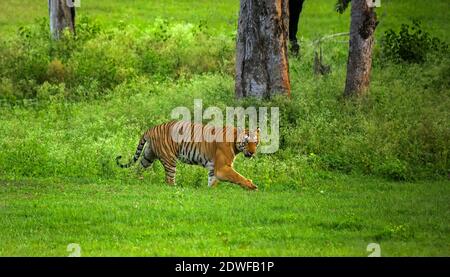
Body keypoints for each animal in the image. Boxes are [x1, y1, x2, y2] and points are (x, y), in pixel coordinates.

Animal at [116, 121, 260, 190]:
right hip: (170, 159)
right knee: (169, 180)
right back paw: (176, 188)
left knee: (137, 168)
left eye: (256, 142)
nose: (252, 153)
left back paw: (136, 180)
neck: (235, 143)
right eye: (246, 141)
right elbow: (238, 177)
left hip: (148, 156)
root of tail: (151, 129)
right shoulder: (222, 168)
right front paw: (252, 186)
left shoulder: (213, 168)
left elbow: (212, 182)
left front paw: (210, 191)